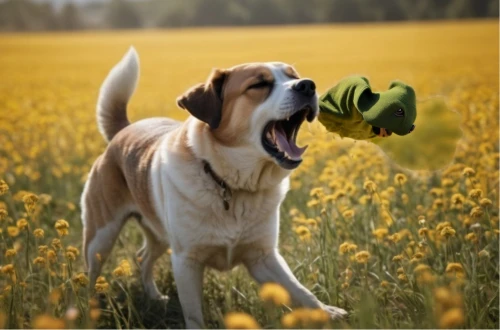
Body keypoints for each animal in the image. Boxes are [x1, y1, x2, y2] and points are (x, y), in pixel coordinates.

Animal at [82, 47, 348, 328]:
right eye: (259, 84)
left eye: (293, 76)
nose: (308, 85)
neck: (230, 184)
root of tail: (124, 131)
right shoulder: (186, 261)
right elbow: (194, 315)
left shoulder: (263, 257)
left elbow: (300, 290)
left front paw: (327, 312)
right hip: (101, 236)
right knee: (91, 272)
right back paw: (88, 309)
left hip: (158, 234)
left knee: (143, 257)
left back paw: (154, 297)